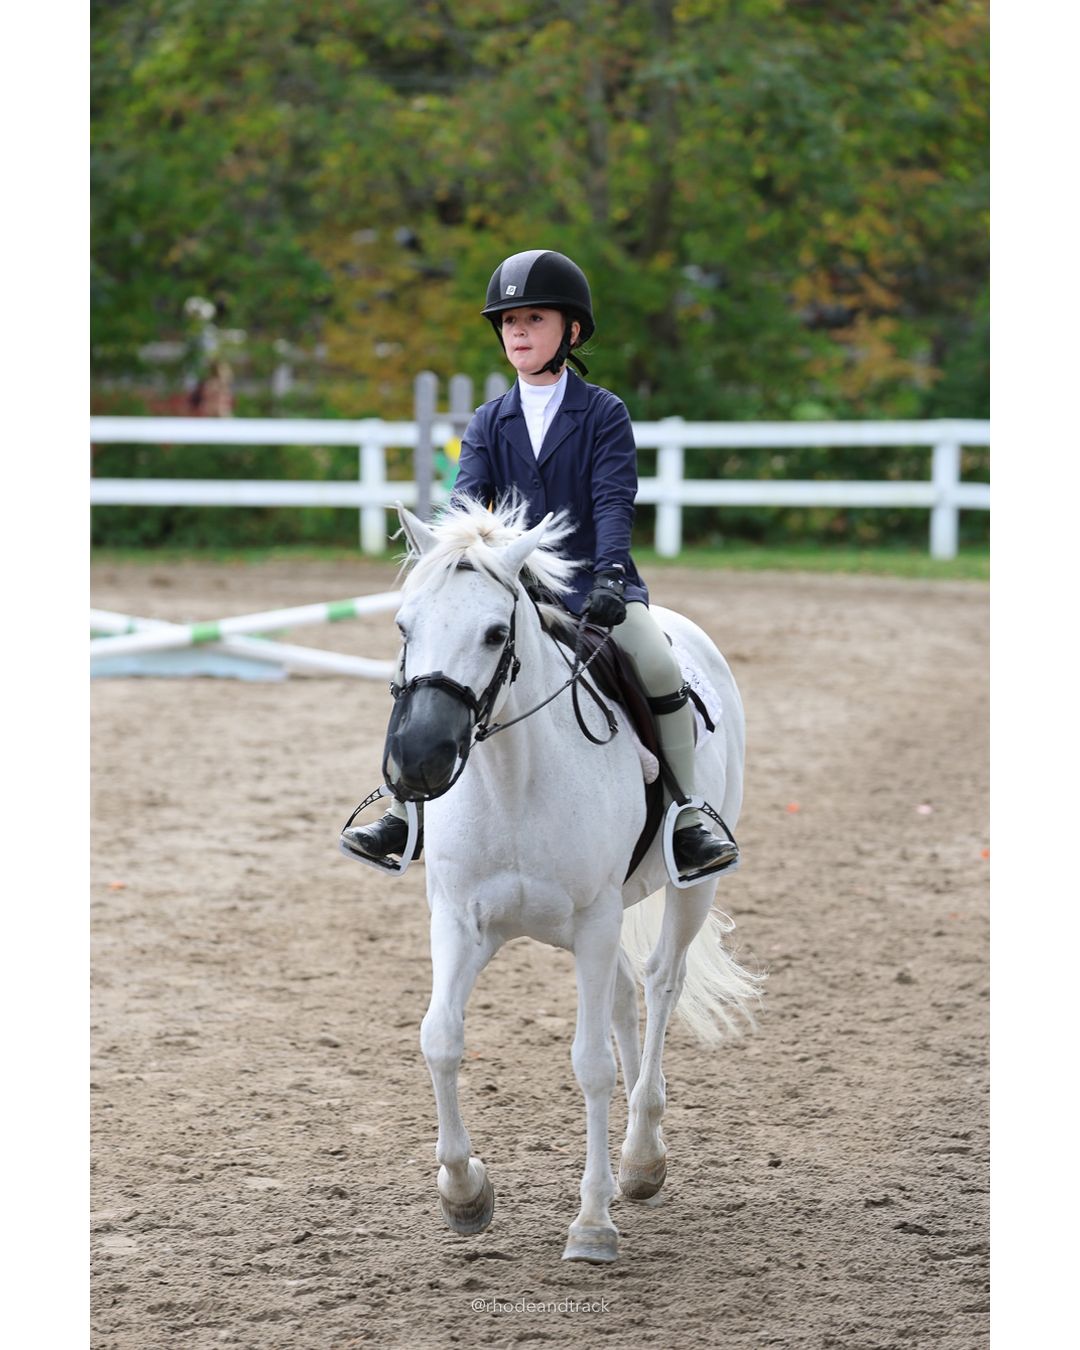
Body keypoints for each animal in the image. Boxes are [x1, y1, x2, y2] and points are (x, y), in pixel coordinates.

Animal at [363, 498, 762, 1264]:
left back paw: (641, 1157)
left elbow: (591, 1065)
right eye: (403, 625)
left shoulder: (596, 923)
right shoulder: (462, 921)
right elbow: (440, 1038)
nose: (419, 760)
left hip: (688, 891)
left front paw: (592, 1223)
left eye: (495, 633)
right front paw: (465, 1192)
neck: (513, 779)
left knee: (661, 983)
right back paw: (640, 1158)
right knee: (626, 1000)